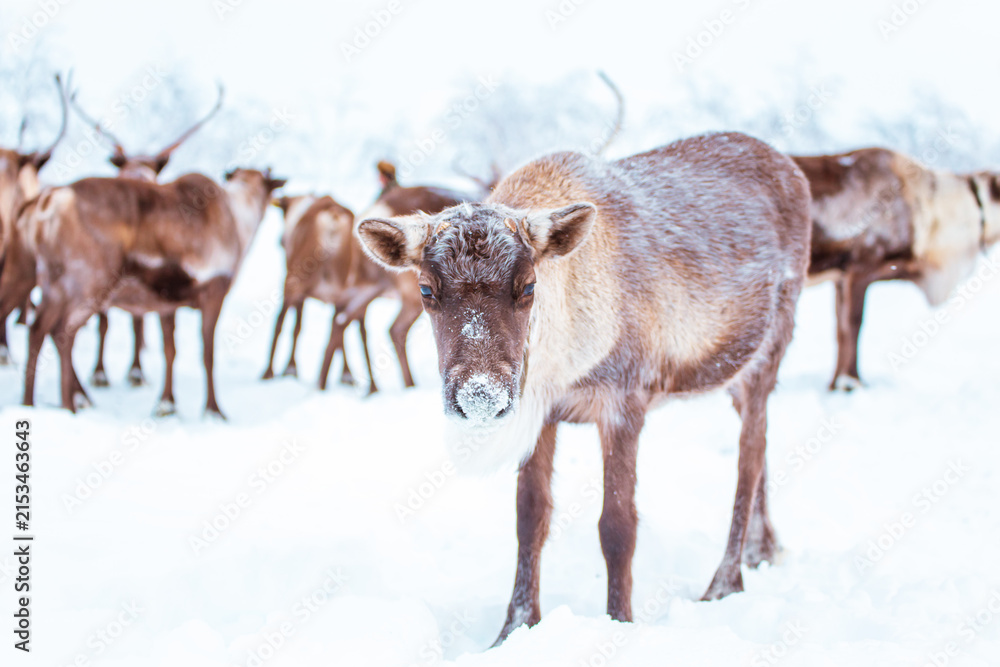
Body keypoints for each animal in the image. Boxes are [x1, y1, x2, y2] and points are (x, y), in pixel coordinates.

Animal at [14, 167, 285, 417]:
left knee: (41, 329)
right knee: (61, 331)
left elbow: (170, 351)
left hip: (52, 282)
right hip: (87, 282)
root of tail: (47, 202)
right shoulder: (213, 292)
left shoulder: (167, 302)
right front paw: (213, 410)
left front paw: (167, 404)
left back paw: (36, 403)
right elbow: (208, 354)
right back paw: (67, 405)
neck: (240, 221)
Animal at [357, 132, 812, 644]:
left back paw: (724, 581)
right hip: (735, 374)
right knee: (763, 446)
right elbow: (530, 518)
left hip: (768, 353)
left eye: (528, 286)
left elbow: (618, 526)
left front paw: (620, 623)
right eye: (427, 290)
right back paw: (762, 550)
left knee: (748, 461)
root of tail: (790, 166)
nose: (481, 397)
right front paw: (515, 627)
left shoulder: (624, 403)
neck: (565, 359)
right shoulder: (540, 414)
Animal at [793, 149, 1000, 390]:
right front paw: (852, 382)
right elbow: (854, 324)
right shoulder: (861, 266)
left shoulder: (841, 276)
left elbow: (839, 331)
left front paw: (835, 384)